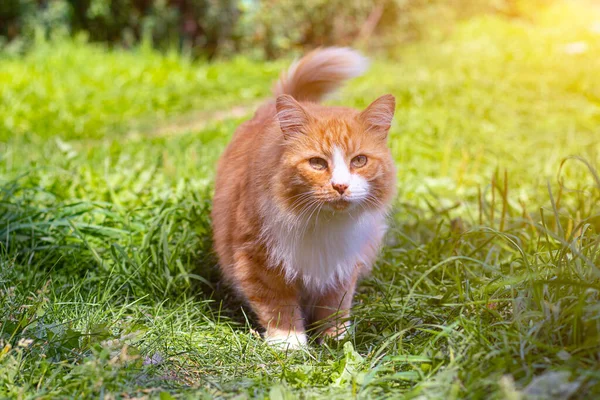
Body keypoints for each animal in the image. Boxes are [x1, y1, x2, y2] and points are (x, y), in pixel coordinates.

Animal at [210, 46, 394, 346]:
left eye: (359, 161)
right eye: (317, 163)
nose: (340, 186)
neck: (324, 226)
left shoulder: (342, 264)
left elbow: (335, 304)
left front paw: (335, 338)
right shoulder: (258, 258)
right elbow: (278, 305)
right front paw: (289, 343)